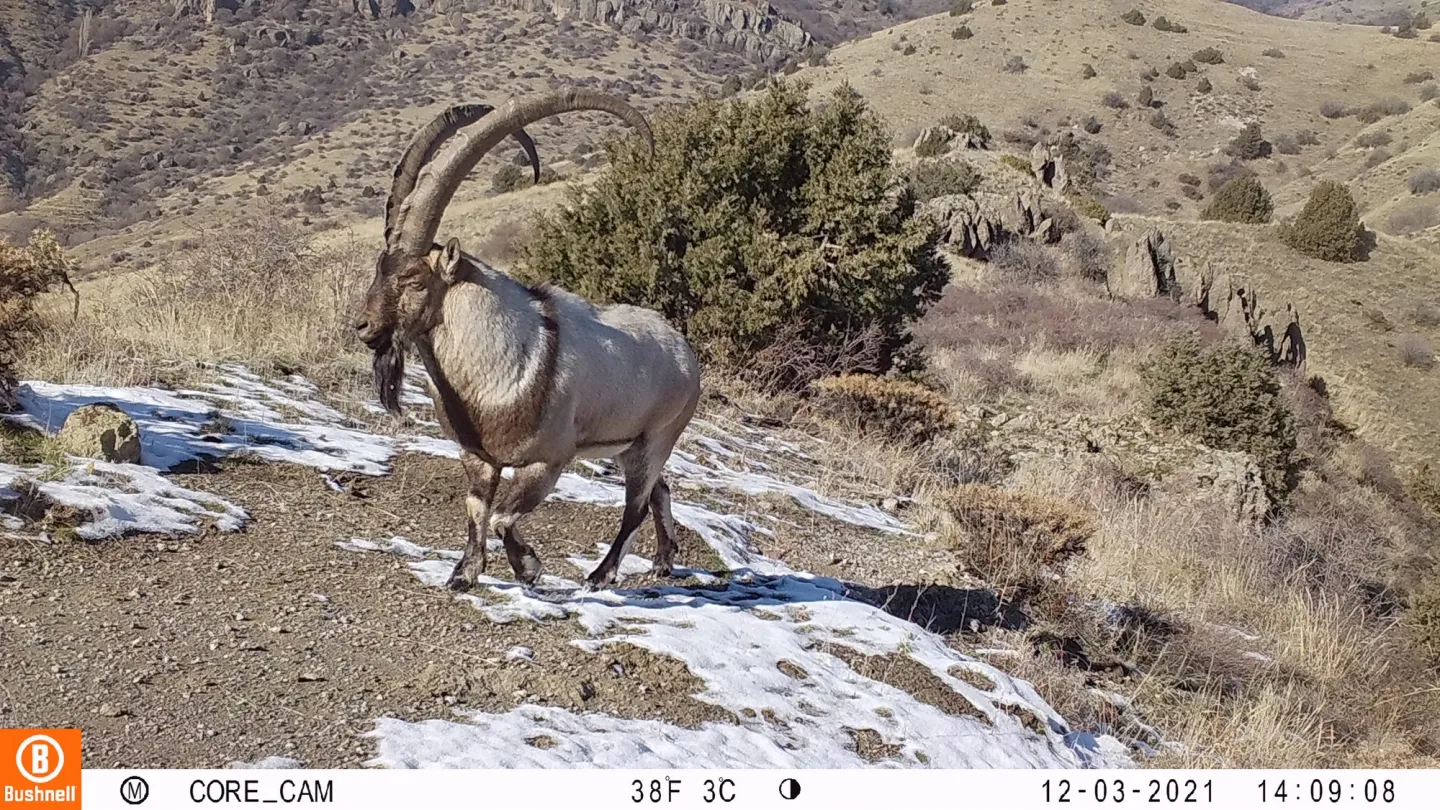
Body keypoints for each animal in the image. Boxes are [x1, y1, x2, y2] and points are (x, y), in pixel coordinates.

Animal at [353, 89, 701, 592]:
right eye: (380, 269)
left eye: (415, 280)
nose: (363, 326)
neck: (501, 368)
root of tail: (686, 352)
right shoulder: (478, 457)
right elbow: (477, 509)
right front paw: (464, 574)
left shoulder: (548, 461)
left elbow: (502, 516)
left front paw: (529, 567)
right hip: (629, 446)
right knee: (661, 490)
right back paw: (663, 562)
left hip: (658, 437)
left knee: (635, 506)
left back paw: (600, 575)